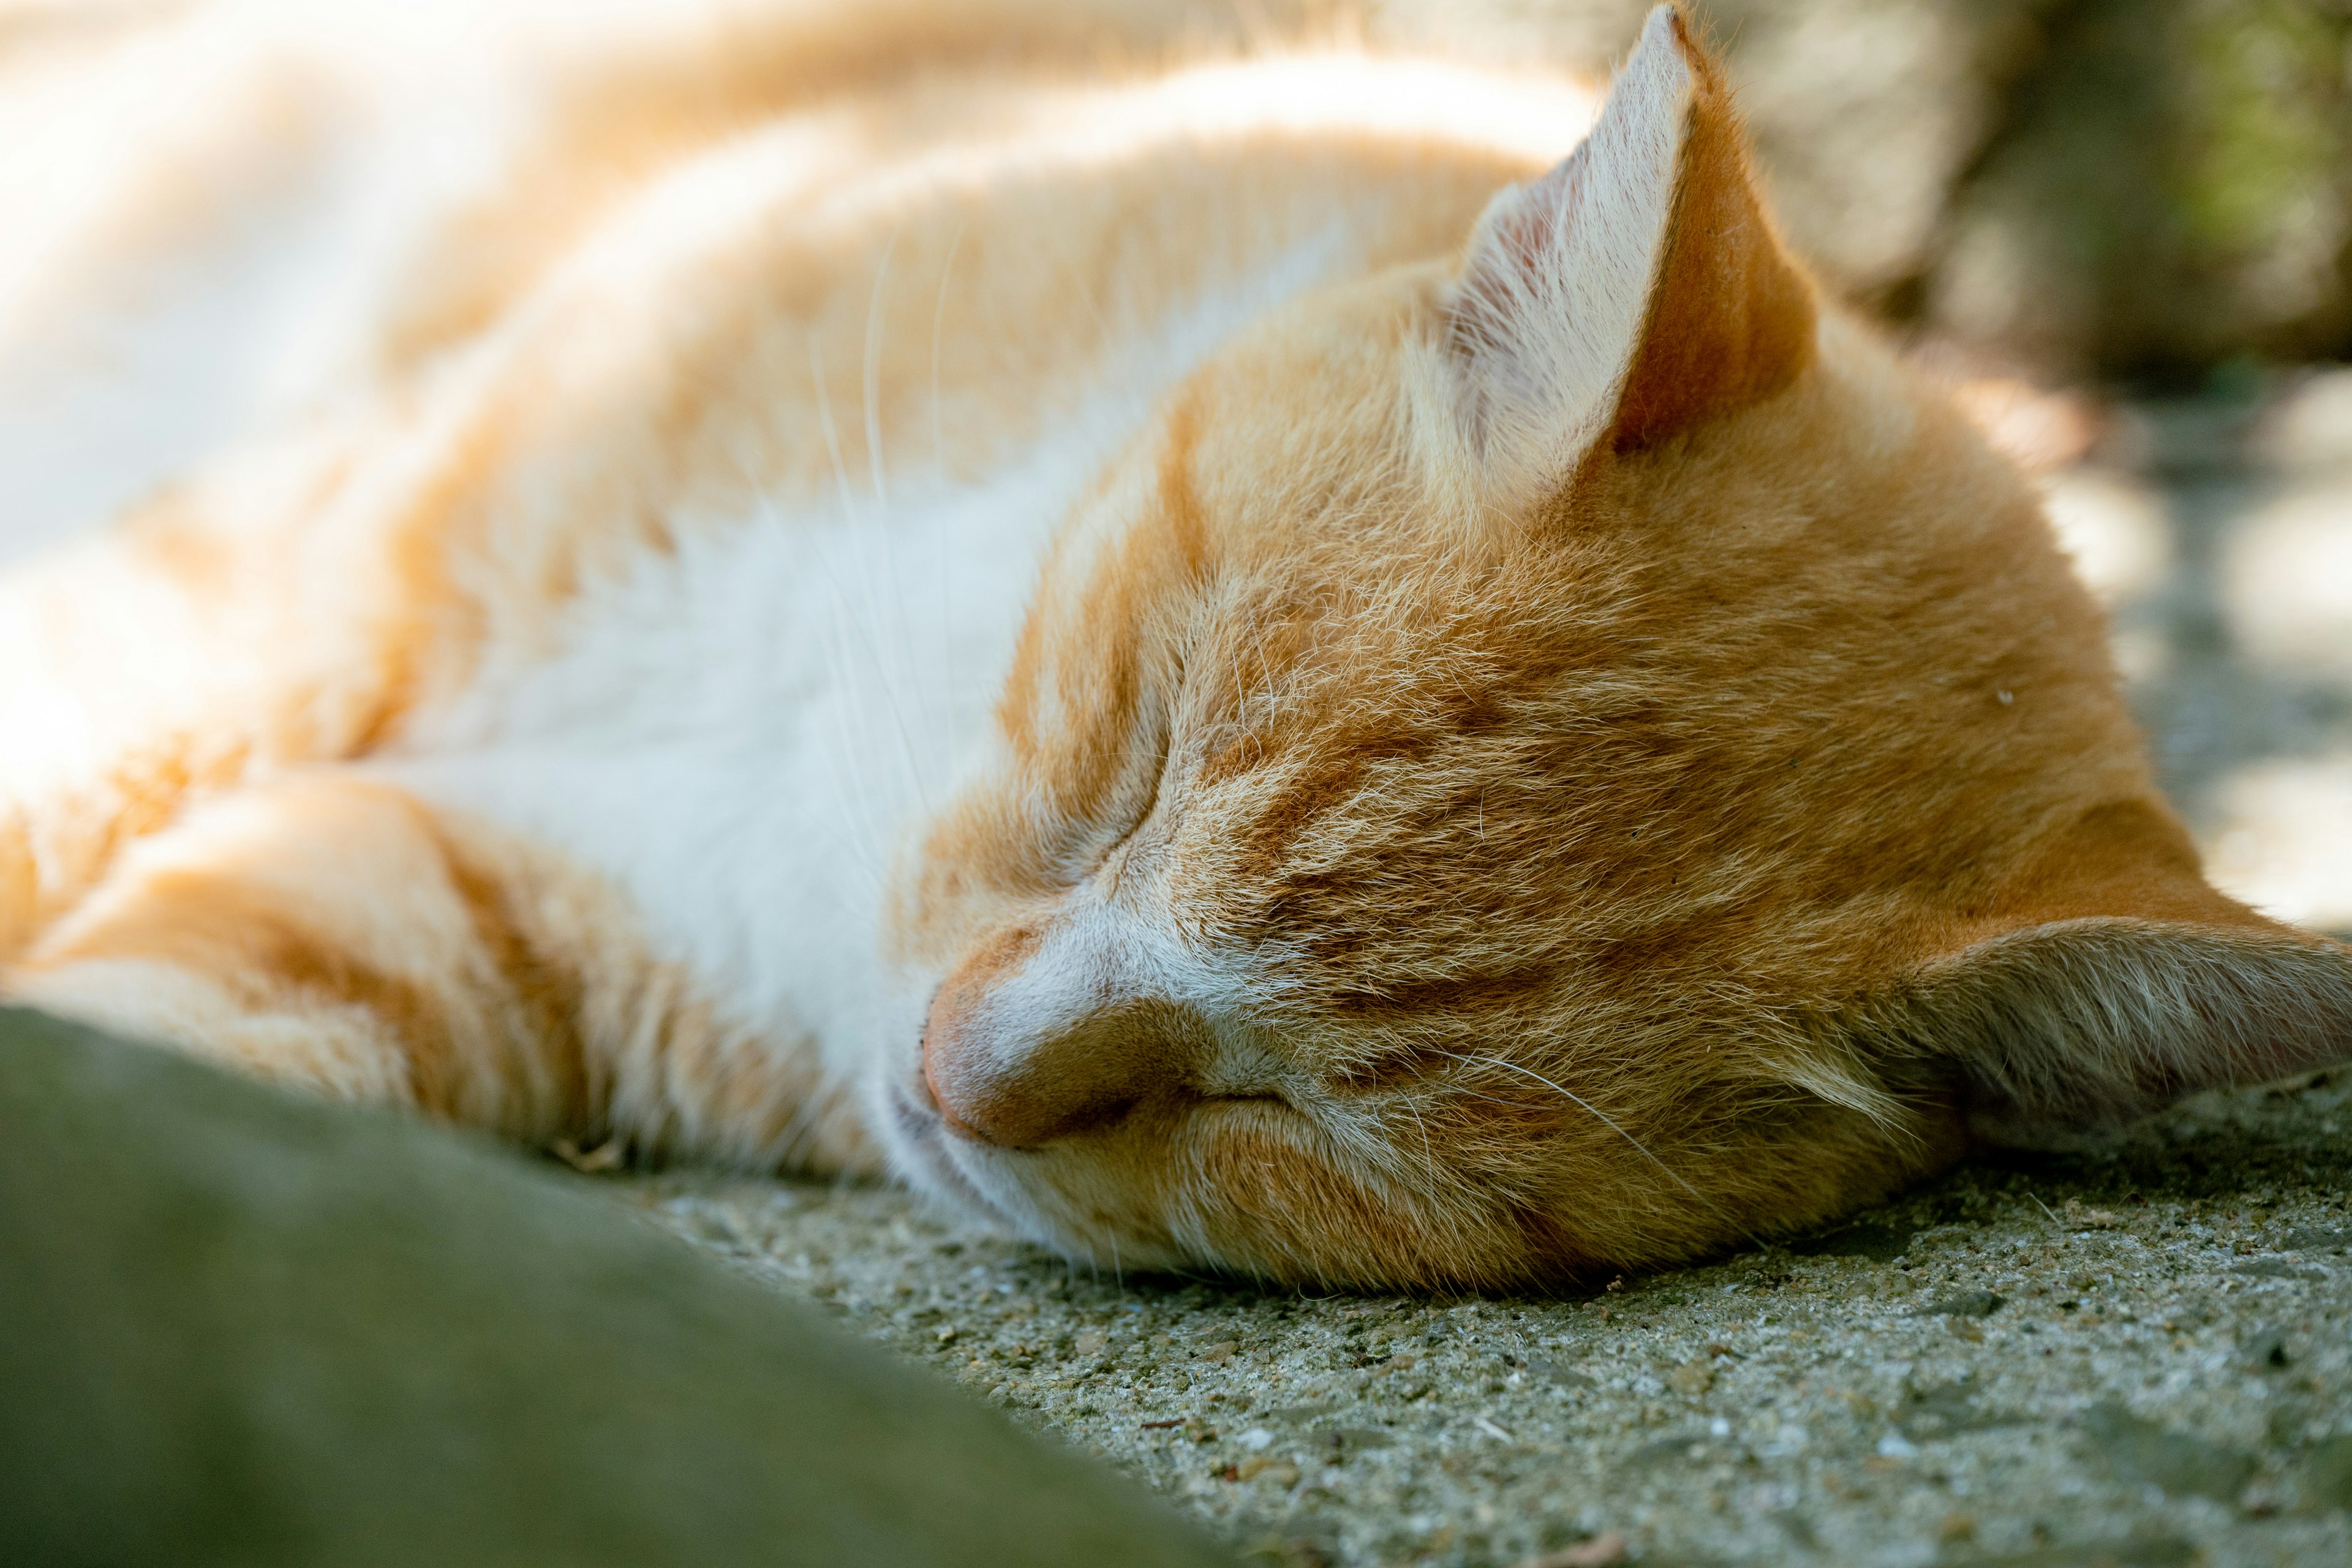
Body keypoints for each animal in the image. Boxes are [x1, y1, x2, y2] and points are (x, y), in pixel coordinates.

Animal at [4, 0, 2352, 1288]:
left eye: (1300, 1116)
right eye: (1131, 753)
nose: (957, 1069)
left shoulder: (460, 897)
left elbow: (199, 1026)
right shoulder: (301, 564)